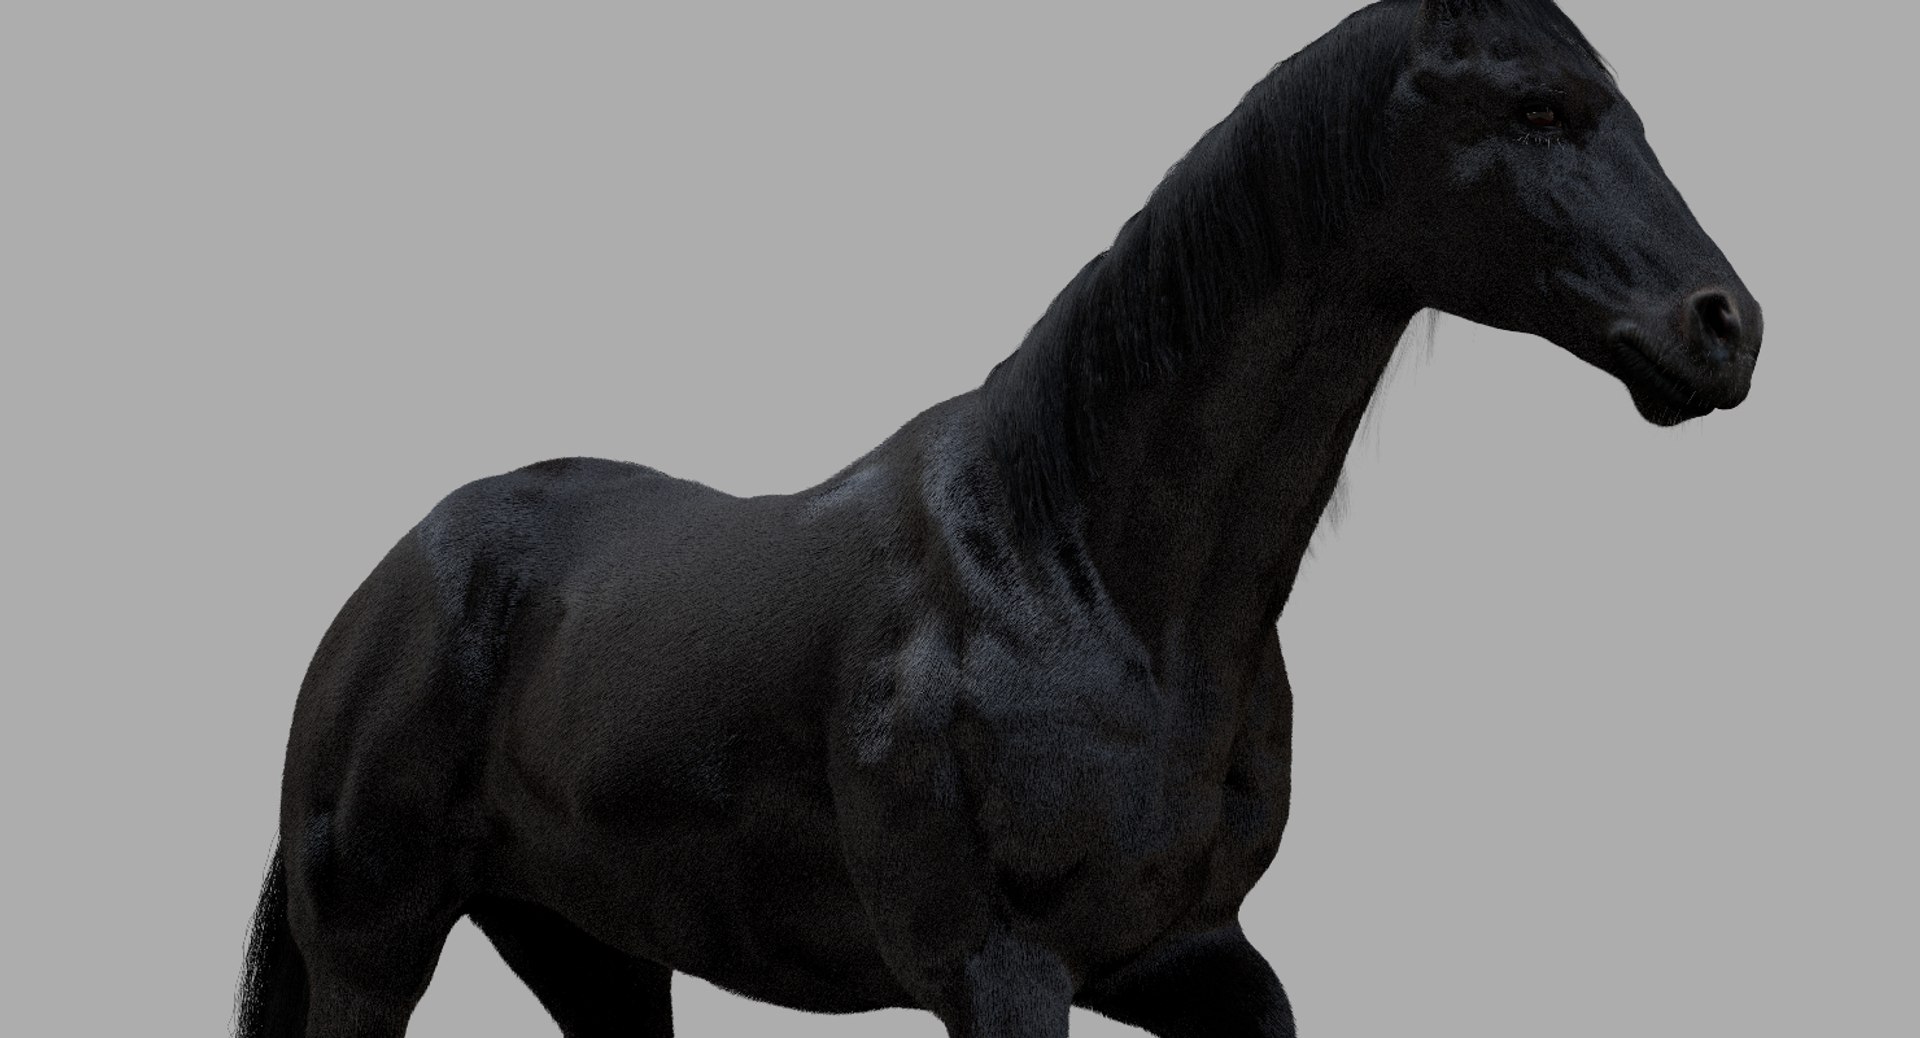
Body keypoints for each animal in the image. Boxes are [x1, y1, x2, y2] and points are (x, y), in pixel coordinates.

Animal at [234, 1, 1761, 1035]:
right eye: (1539, 109)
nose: (1724, 327)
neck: (1090, 576)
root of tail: (386, 590)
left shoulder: (1194, 955)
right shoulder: (1002, 970)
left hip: (591, 947)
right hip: (375, 943)